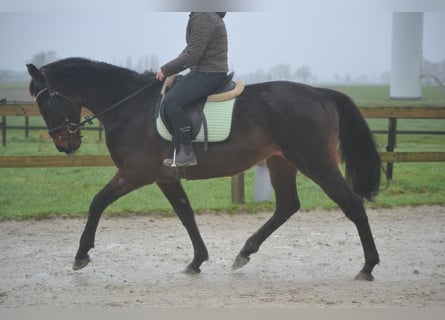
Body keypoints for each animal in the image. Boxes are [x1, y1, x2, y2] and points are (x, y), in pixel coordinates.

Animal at [27, 57, 380, 280]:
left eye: (42, 102)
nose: (65, 144)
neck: (131, 107)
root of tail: (321, 93)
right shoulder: (164, 177)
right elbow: (186, 214)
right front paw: (197, 260)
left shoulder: (135, 173)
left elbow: (97, 202)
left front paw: (81, 255)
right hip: (281, 162)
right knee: (287, 206)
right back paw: (245, 252)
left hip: (315, 161)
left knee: (352, 205)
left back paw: (368, 266)